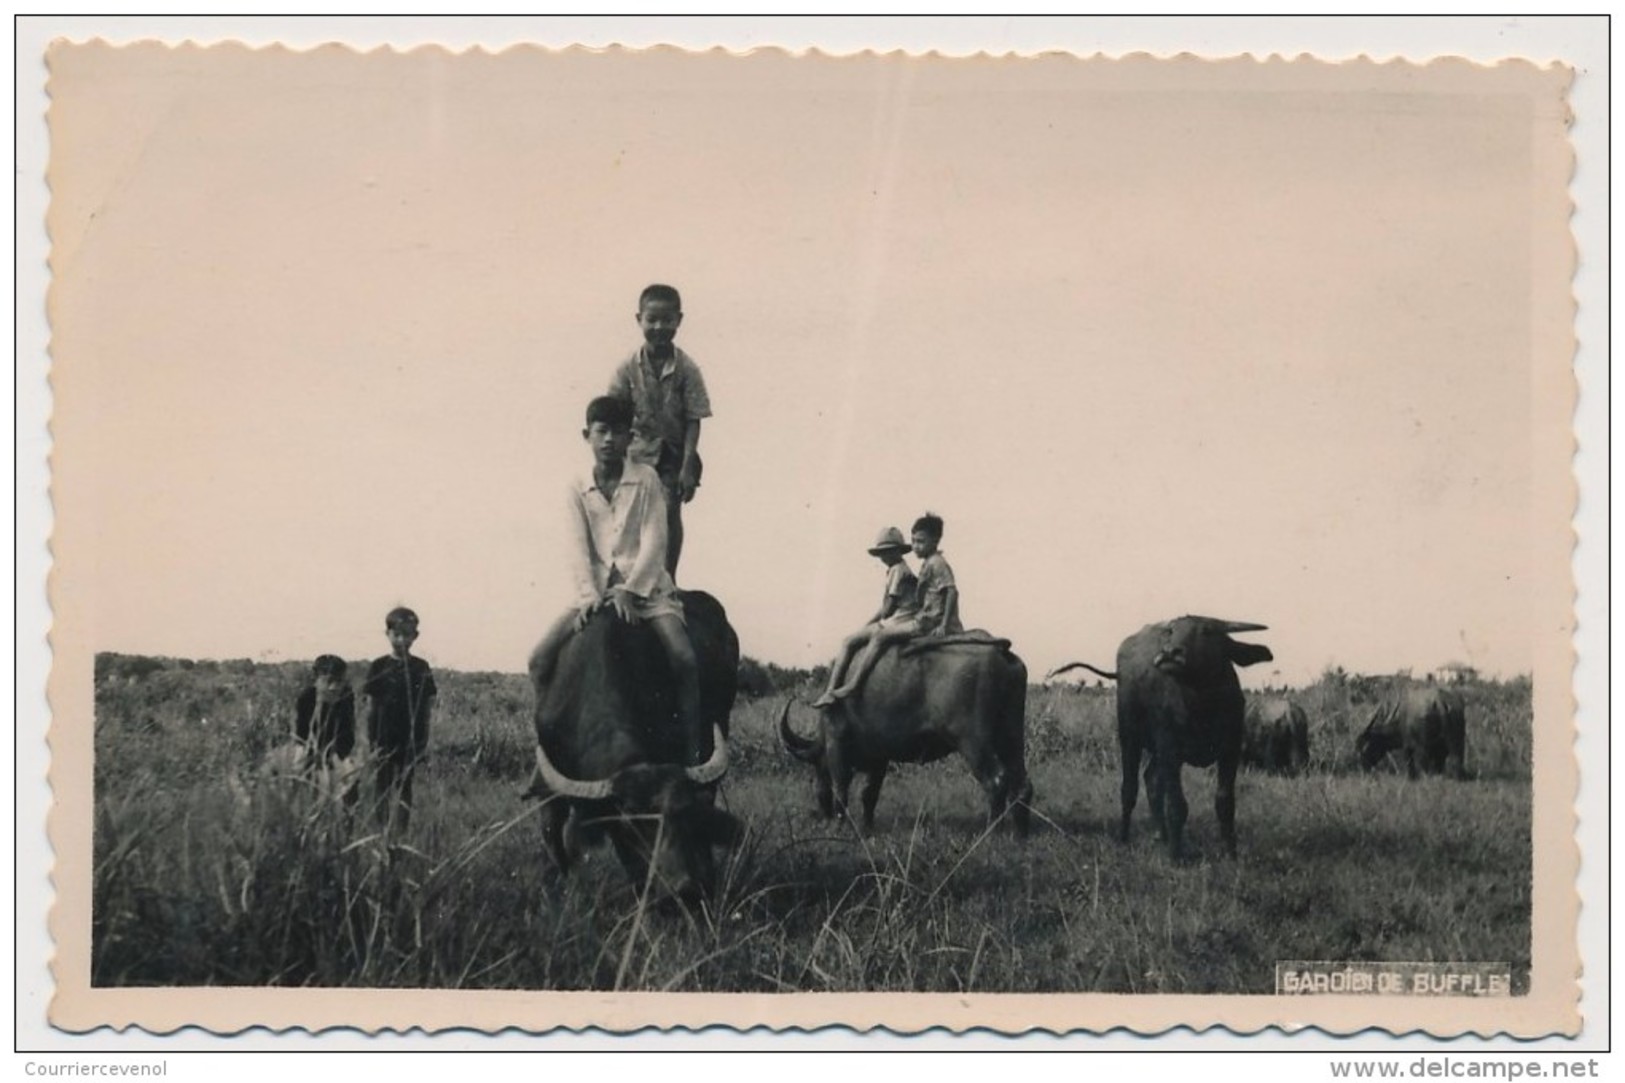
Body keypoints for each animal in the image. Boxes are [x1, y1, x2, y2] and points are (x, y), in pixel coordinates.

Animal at [773, 637, 1027, 829]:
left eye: (817, 766)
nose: (821, 811)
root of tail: (1001, 652)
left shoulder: (837, 744)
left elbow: (841, 788)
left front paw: (840, 826)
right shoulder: (879, 756)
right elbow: (869, 793)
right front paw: (867, 827)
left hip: (973, 741)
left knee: (996, 780)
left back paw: (992, 832)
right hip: (1012, 735)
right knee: (1021, 781)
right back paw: (1020, 831)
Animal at [1053, 614, 1267, 858]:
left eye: (1207, 631)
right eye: (1172, 631)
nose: (1170, 653)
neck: (1201, 704)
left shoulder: (1230, 750)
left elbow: (1225, 803)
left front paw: (1230, 853)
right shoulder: (1170, 749)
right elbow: (1177, 805)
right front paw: (1176, 856)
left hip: (1157, 750)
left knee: (1151, 779)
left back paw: (1161, 835)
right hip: (1129, 736)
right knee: (1129, 788)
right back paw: (1124, 837)